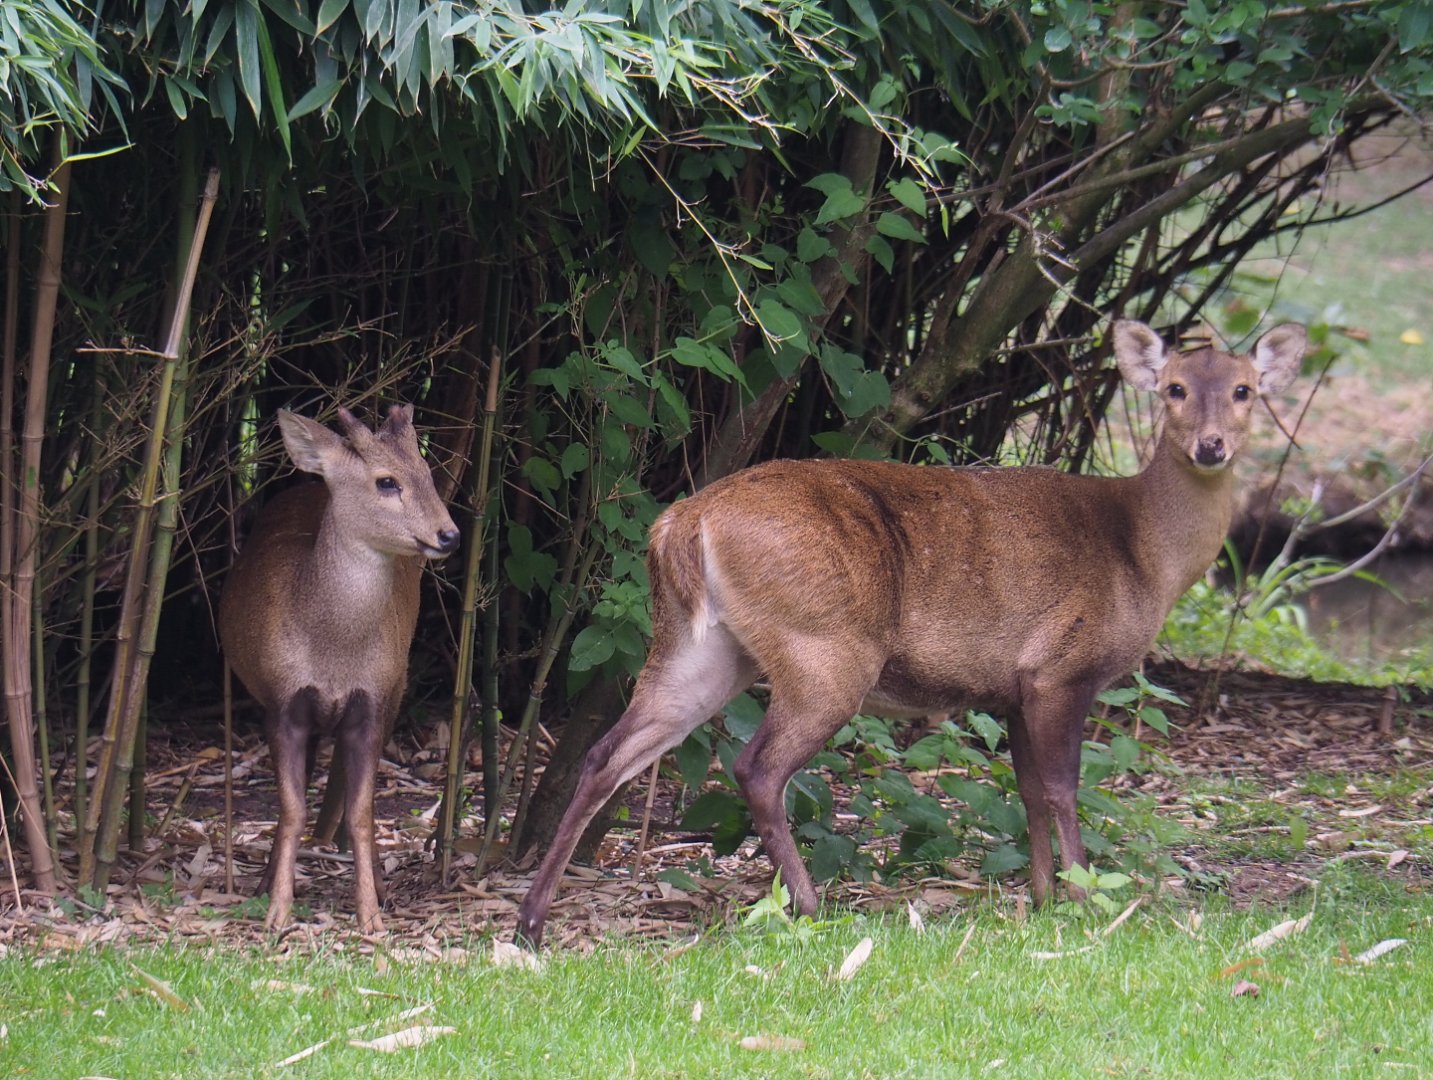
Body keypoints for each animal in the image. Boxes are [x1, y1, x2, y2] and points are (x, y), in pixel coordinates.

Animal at [220, 403, 459, 933]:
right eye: (386, 481)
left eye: (427, 471)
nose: (449, 534)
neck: (333, 654)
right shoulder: (281, 701)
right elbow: (291, 810)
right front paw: (276, 913)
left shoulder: (372, 700)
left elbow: (363, 813)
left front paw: (370, 915)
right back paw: (265, 881)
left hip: (398, 685)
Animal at [515, 319, 1305, 947]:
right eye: (1173, 388)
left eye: (1243, 390)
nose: (1211, 446)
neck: (1142, 553)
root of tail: (684, 522)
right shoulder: (1061, 667)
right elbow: (1061, 787)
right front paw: (1088, 899)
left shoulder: (1014, 688)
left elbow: (1025, 789)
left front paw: (1044, 898)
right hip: (825, 644)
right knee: (756, 767)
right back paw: (810, 906)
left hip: (700, 645)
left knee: (607, 754)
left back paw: (531, 922)